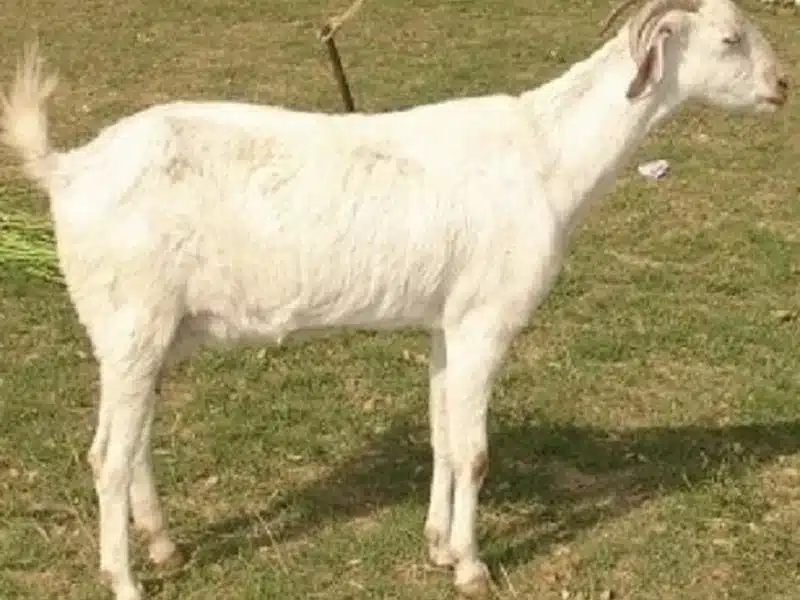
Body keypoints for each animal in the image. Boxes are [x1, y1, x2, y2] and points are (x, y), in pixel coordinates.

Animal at [1, 0, 789, 598]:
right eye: (728, 39)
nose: (782, 84)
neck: (545, 155)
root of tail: (68, 168)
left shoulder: (447, 323)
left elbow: (442, 435)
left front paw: (437, 542)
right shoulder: (485, 322)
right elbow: (474, 451)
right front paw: (471, 566)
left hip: (148, 333)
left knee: (130, 445)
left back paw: (164, 546)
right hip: (131, 322)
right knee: (106, 456)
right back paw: (126, 580)